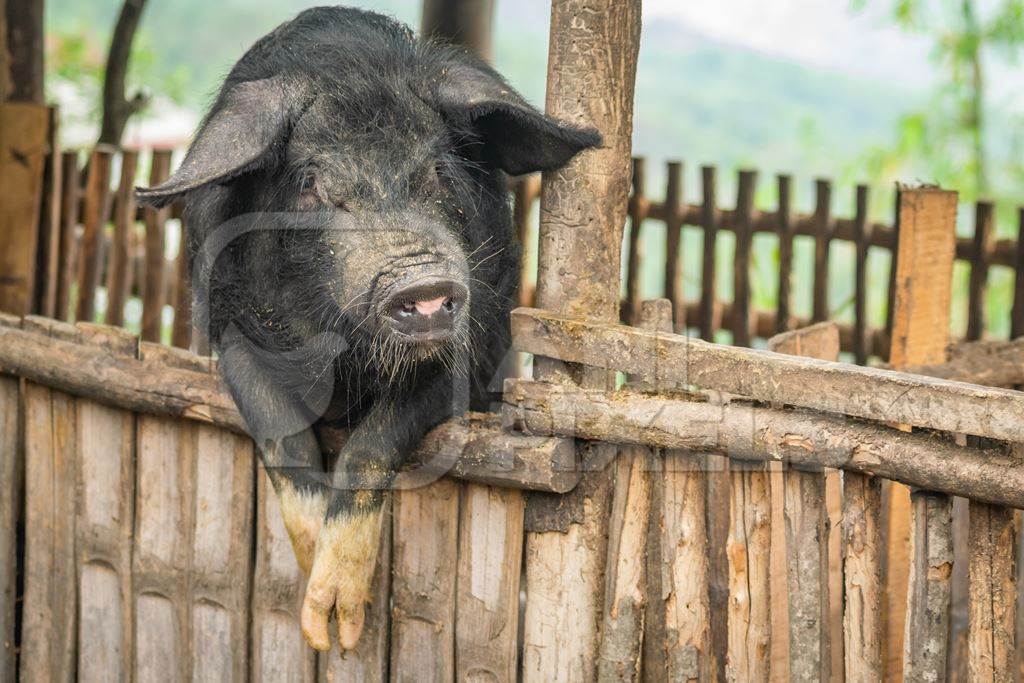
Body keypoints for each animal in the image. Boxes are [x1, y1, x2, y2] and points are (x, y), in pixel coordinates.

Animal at [137, 6, 598, 655]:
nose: (423, 285)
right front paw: (316, 622)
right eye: (309, 182)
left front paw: (338, 625)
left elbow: (372, 442)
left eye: (440, 171)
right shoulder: (224, 328)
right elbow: (282, 437)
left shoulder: (479, 342)